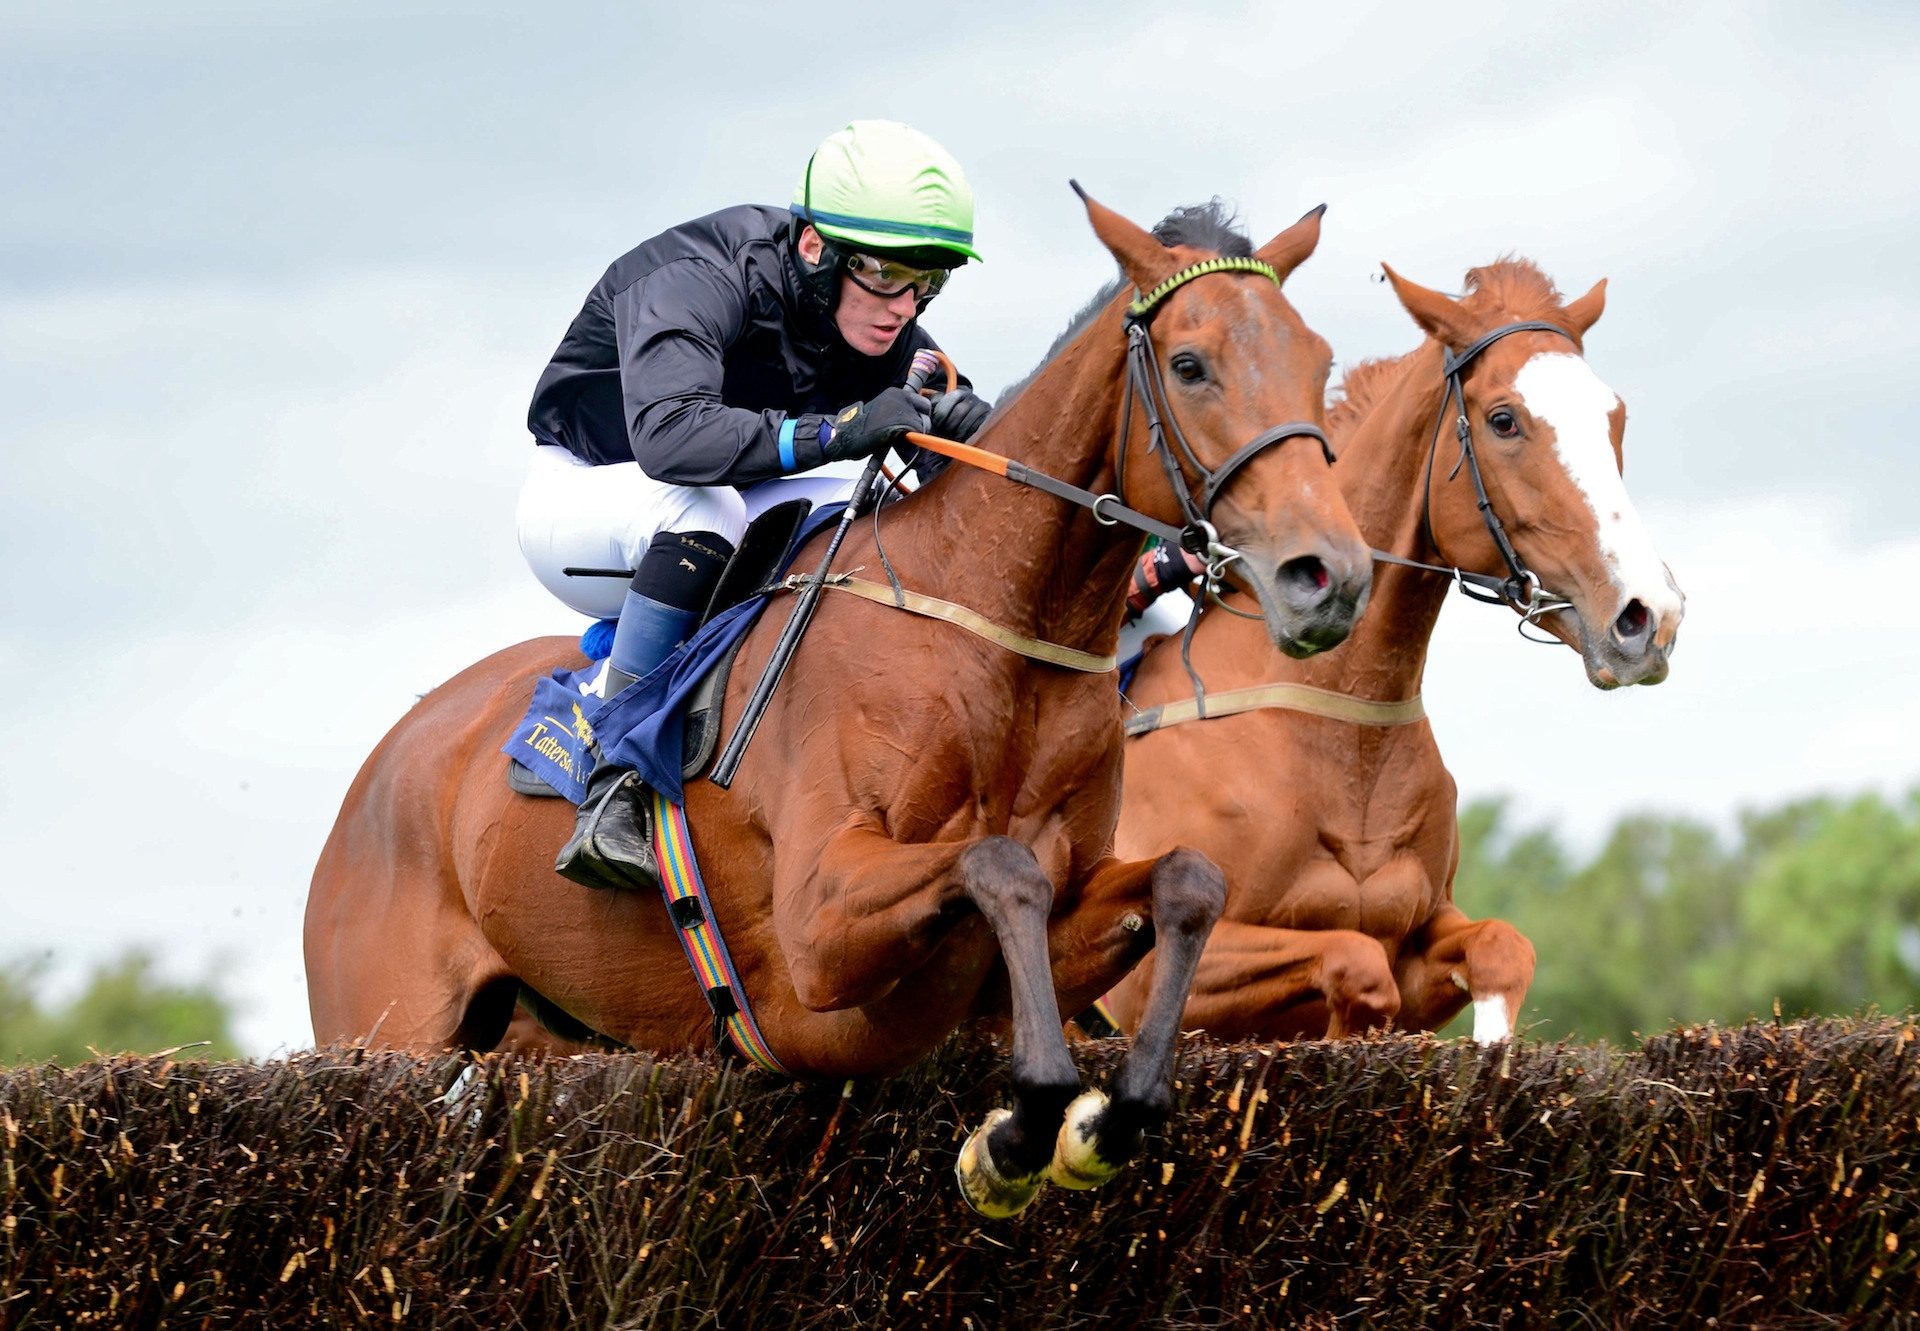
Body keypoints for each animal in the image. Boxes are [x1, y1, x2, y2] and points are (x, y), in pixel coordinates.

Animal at [307, 189, 1374, 1213]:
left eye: (1319, 360)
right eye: (1190, 364)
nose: (1330, 576)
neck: (991, 635)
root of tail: (395, 749)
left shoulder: (1056, 939)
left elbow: (1187, 879)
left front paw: (1110, 1117)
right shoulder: (819, 935)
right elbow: (999, 865)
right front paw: (1021, 1127)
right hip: (387, 1039)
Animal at [1105, 259, 1689, 1044]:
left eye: (1613, 416)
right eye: (1504, 420)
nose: (1648, 616)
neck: (1345, 724)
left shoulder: (1424, 936)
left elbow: (1501, 947)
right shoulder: (1146, 982)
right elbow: (1356, 961)